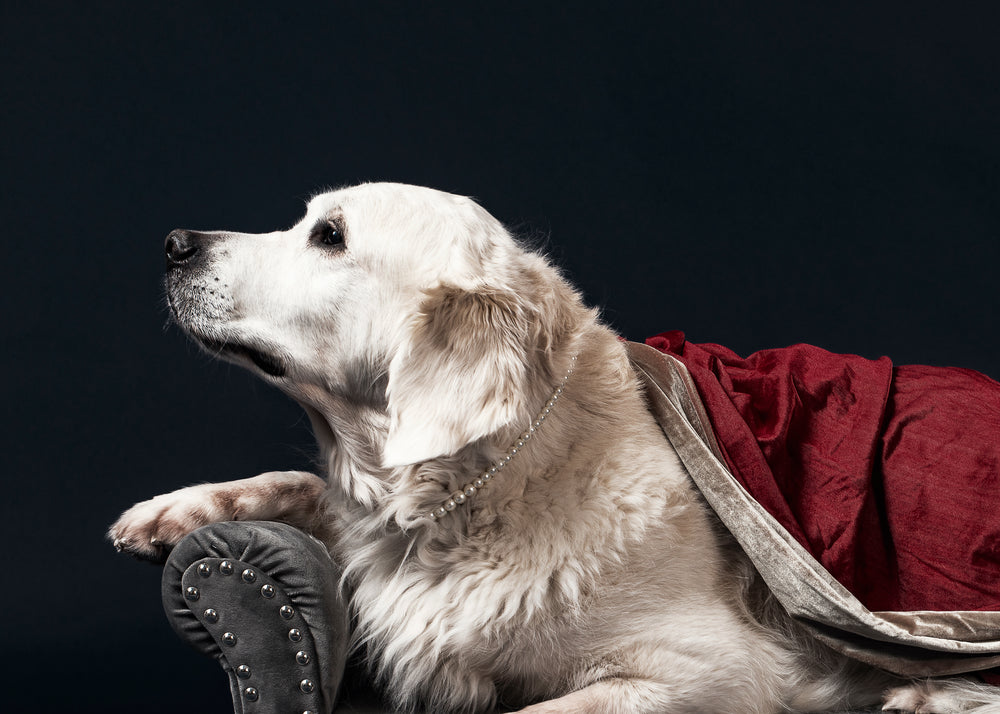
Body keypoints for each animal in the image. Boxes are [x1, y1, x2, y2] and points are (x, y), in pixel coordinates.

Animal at [109, 184, 1000, 712]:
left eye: (327, 235)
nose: (175, 241)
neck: (475, 493)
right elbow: (300, 480)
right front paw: (176, 510)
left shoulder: (715, 668)